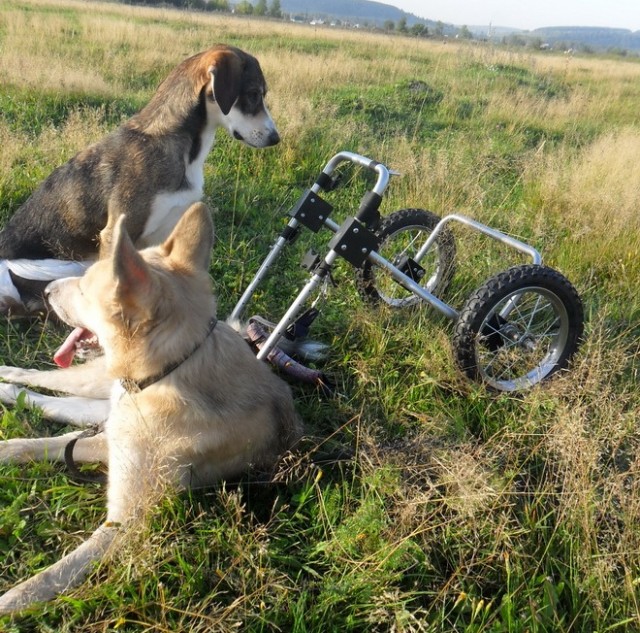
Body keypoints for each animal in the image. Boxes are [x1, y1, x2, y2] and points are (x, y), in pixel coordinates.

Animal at [0, 201, 302, 612]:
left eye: (84, 289)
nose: (45, 292)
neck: (169, 371)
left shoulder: (126, 517)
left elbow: (51, 575)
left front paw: (11, 602)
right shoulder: (113, 447)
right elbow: (36, 445)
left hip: (96, 410)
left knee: (51, 403)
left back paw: (11, 391)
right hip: (92, 387)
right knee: (42, 383)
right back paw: (7, 378)